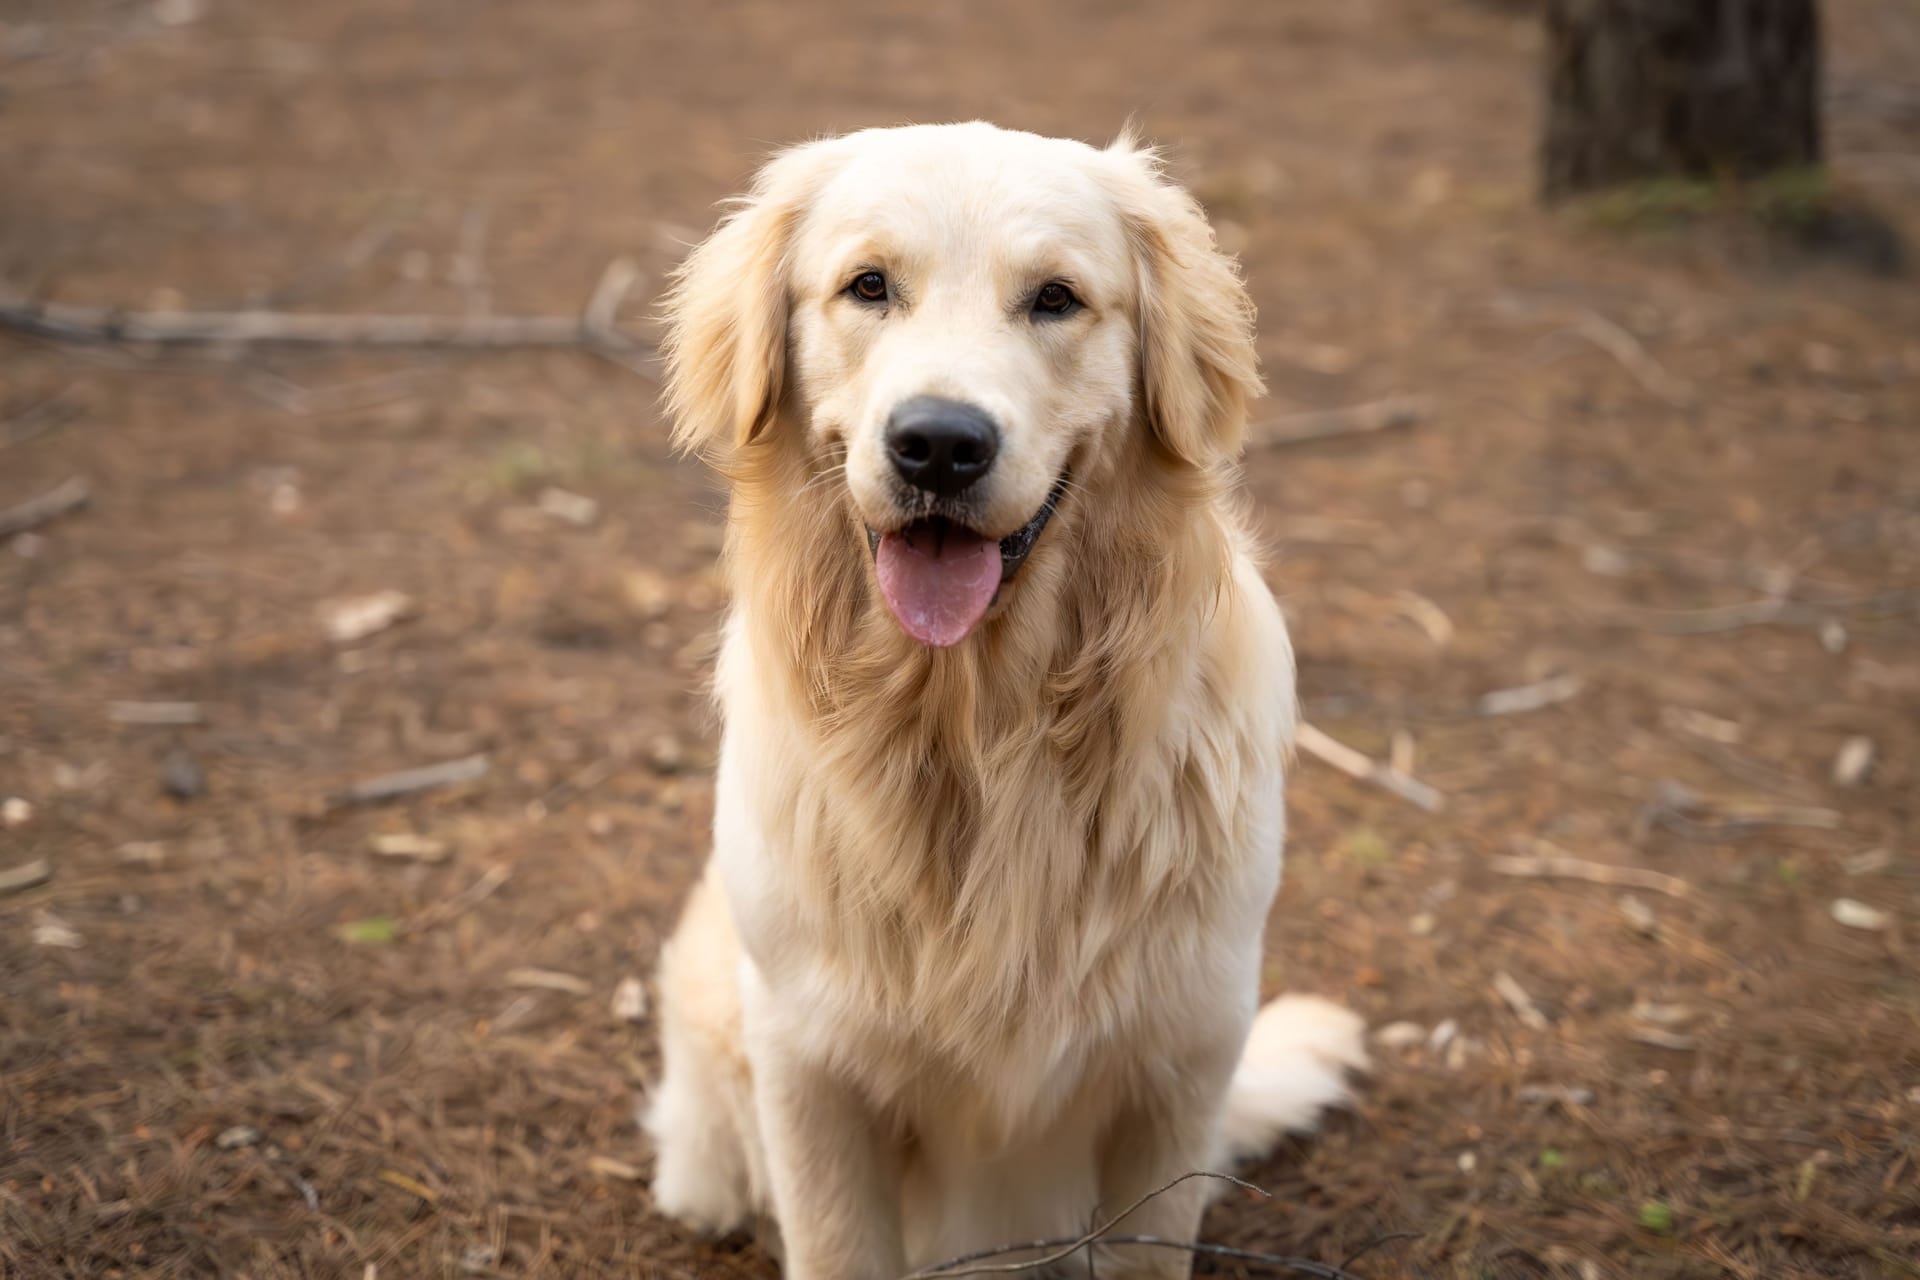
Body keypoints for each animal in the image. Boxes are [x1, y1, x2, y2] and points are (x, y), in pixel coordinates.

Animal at [645, 122, 1367, 1280]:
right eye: (868, 285)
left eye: (1055, 299)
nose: (940, 444)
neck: (978, 729)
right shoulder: (809, 1063)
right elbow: (836, 1241)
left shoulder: (1181, 1063)